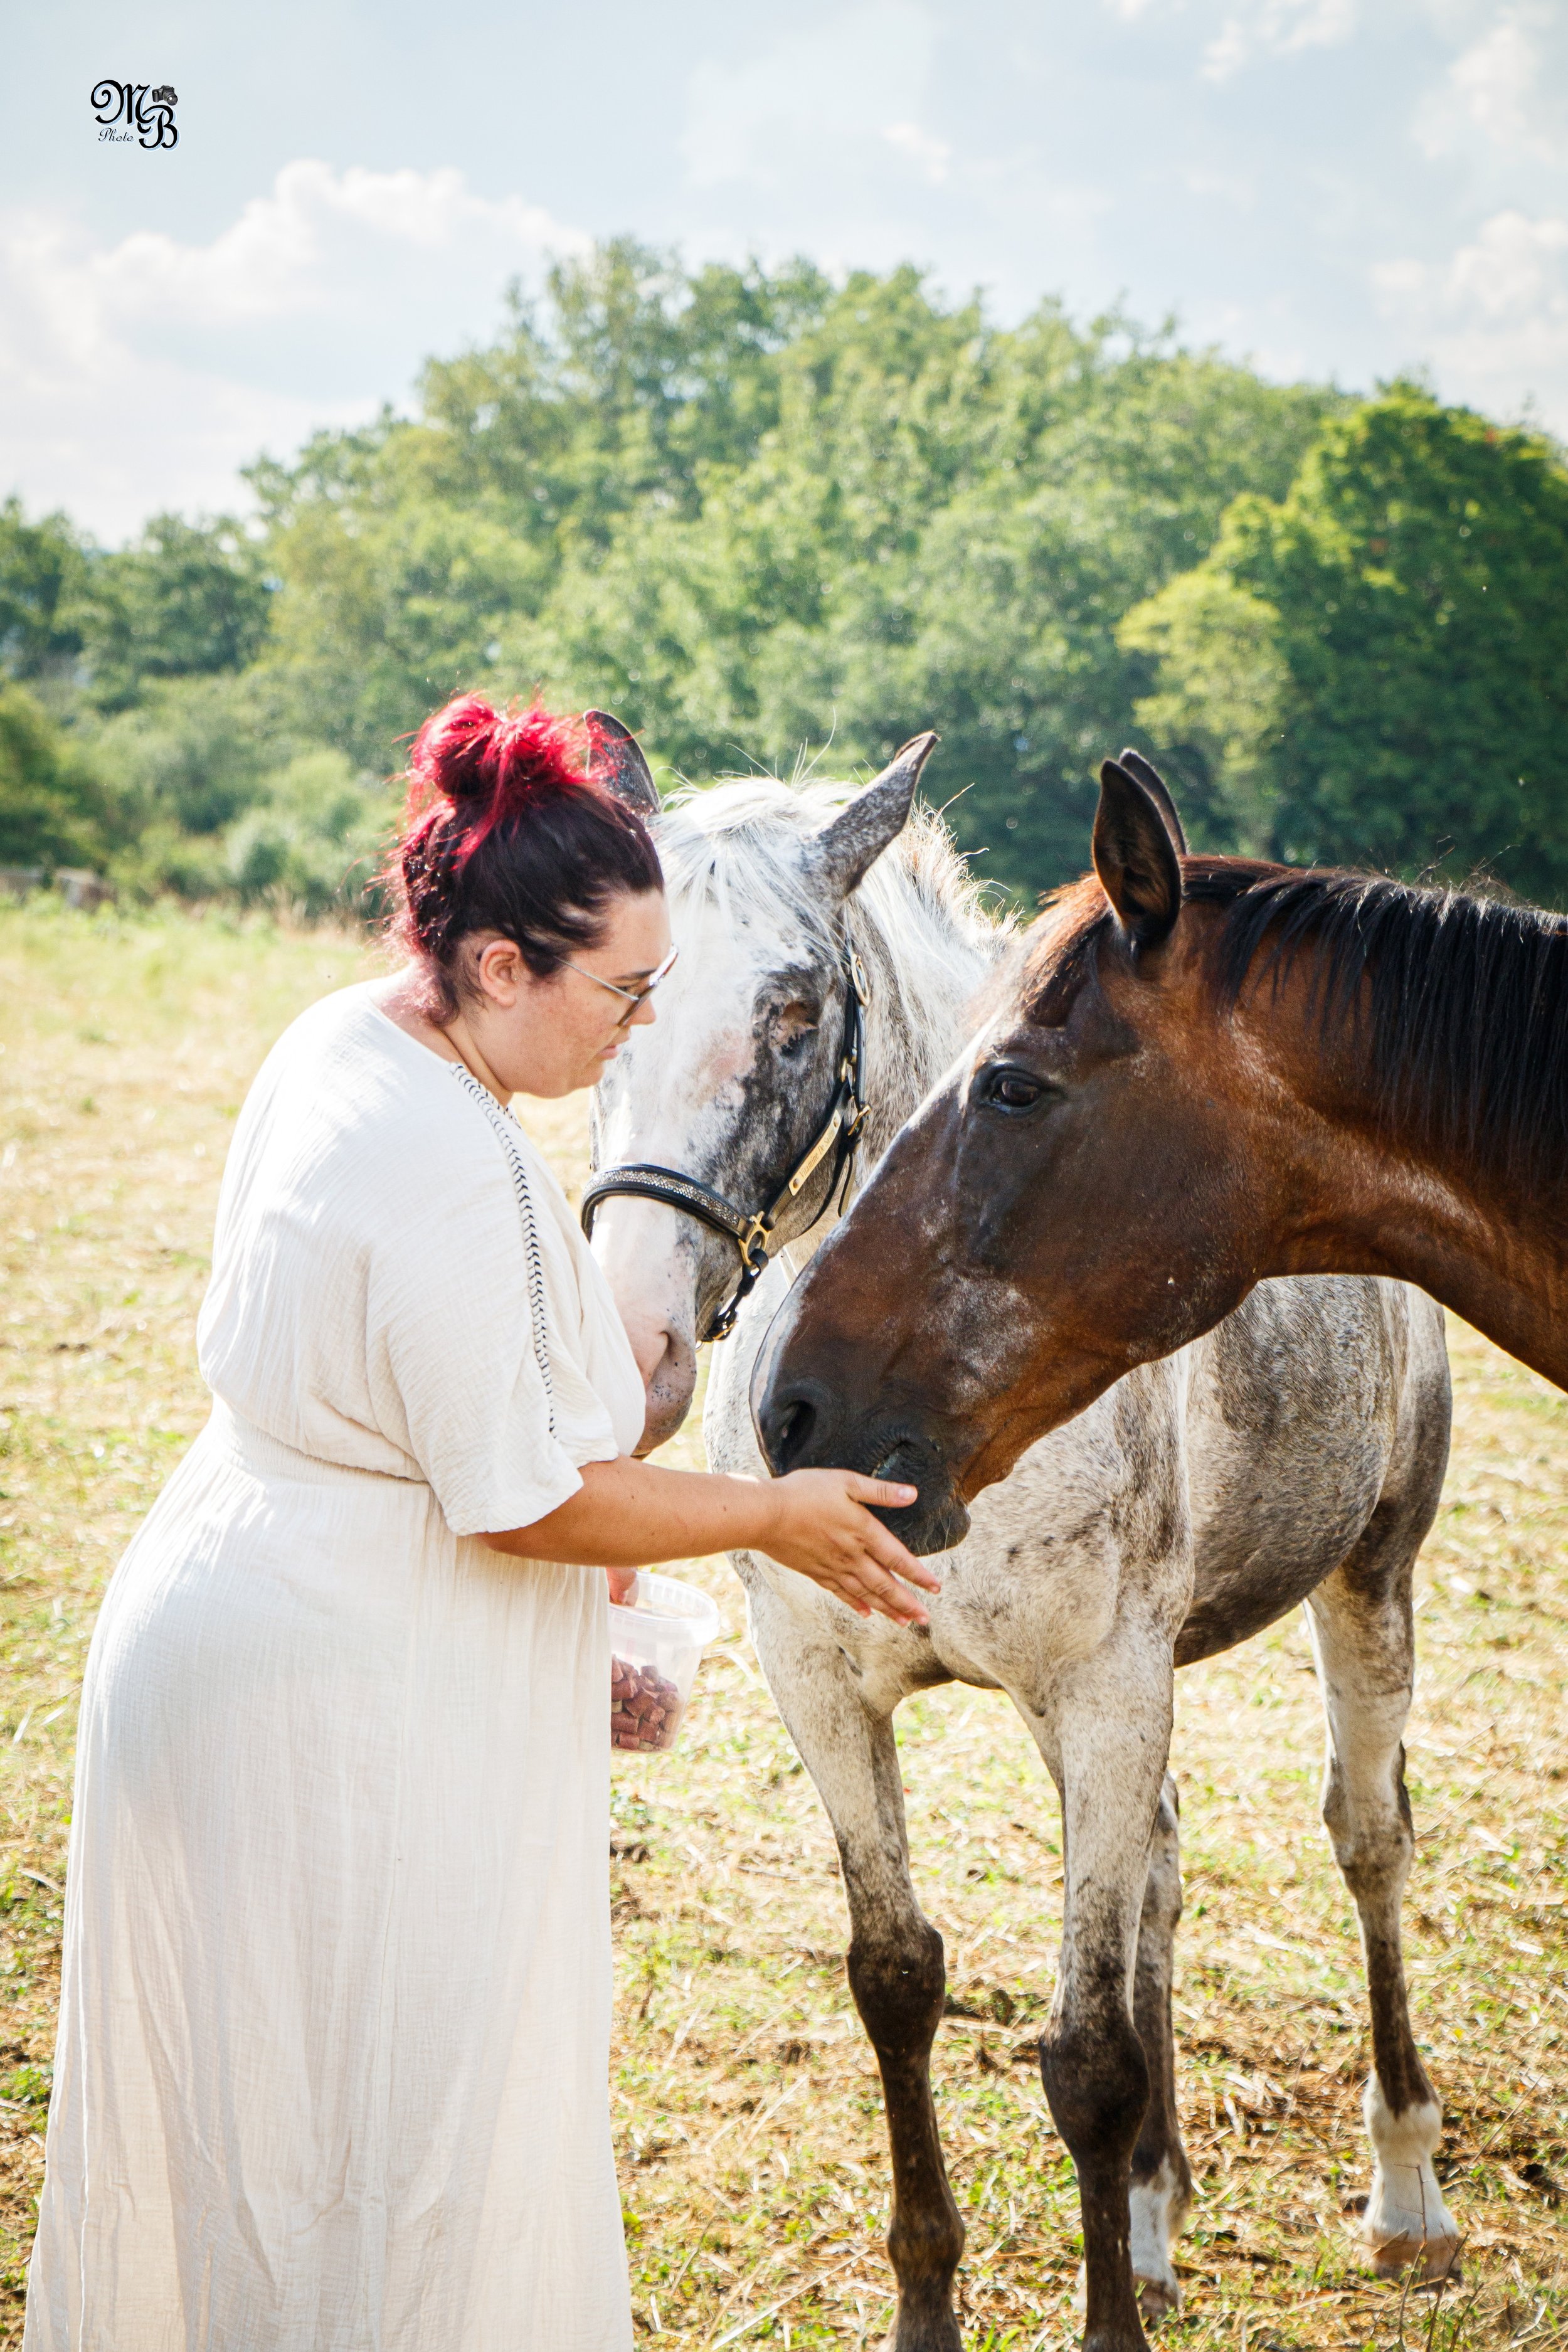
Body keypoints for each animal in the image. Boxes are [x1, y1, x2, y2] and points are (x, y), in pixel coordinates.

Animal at [584, 734, 1458, 2352]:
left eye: (793, 1008)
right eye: (618, 997)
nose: (641, 1325)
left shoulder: (1104, 1684)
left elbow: (1088, 2052)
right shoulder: (827, 1686)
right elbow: (898, 1980)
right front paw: (937, 2298)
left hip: (1369, 1581)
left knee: (1367, 1841)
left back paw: (1405, 2191)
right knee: (1161, 1870)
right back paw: (1159, 2213)